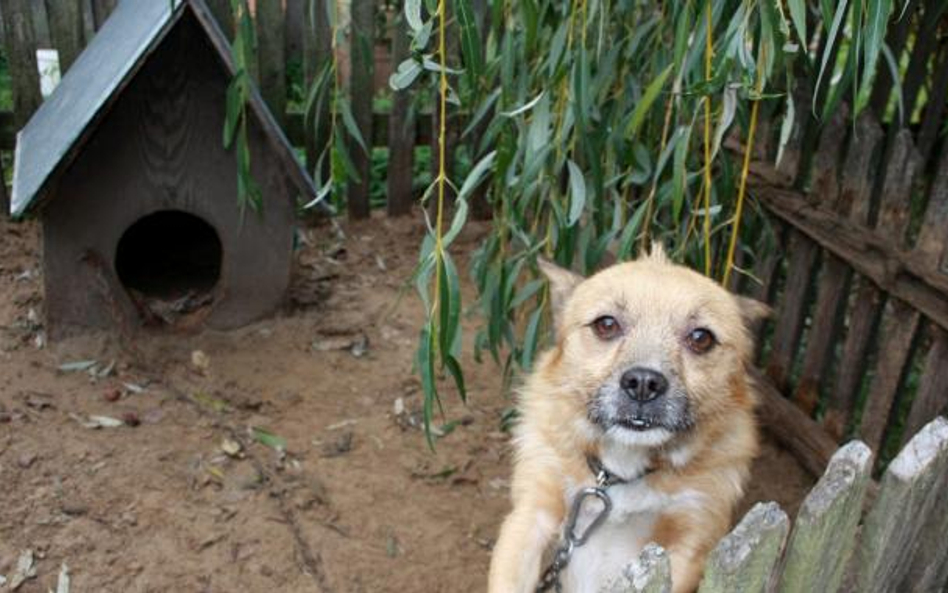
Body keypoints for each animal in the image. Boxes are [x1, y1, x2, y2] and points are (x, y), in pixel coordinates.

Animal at [488, 246, 764, 592]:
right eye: (606, 324)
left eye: (701, 338)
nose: (644, 383)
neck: (618, 475)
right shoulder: (531, 516)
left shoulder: (689, 541)